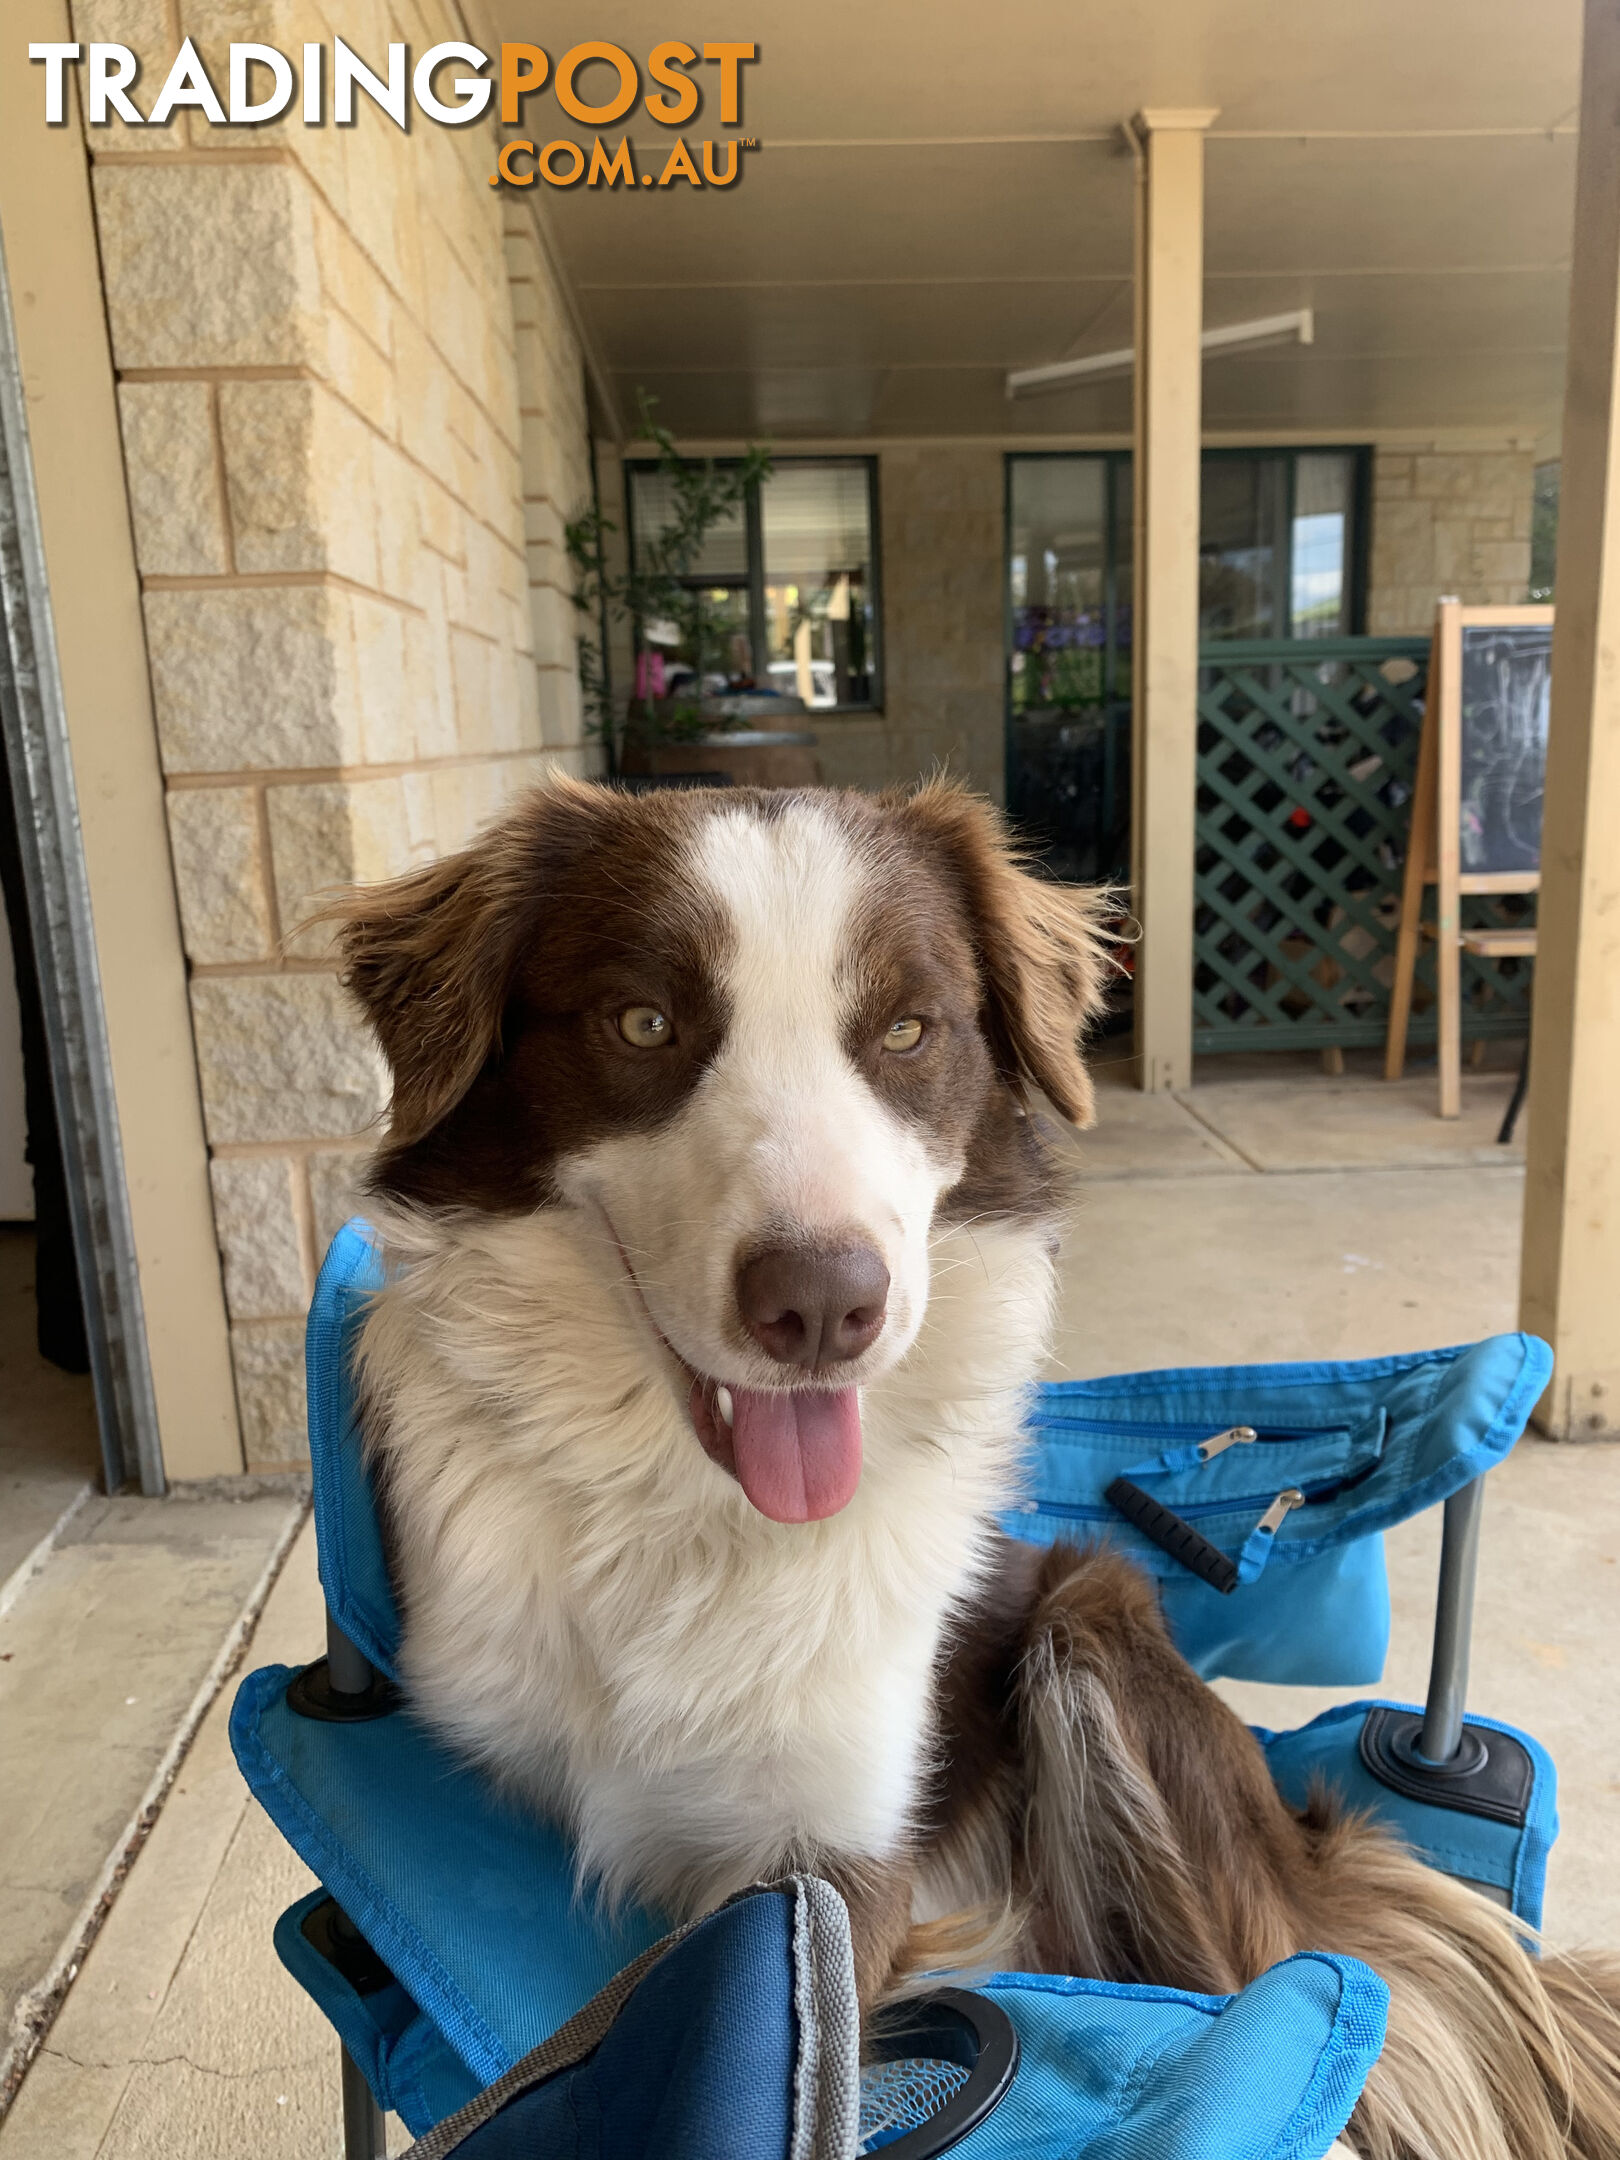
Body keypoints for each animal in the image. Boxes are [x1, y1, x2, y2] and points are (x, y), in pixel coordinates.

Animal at [332, 777, 1620, 2160]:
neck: (684, 1514)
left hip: (1097, 1634)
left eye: (905, 1029)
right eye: (643, 1022)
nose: (824, 1307)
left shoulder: (840, 1867)